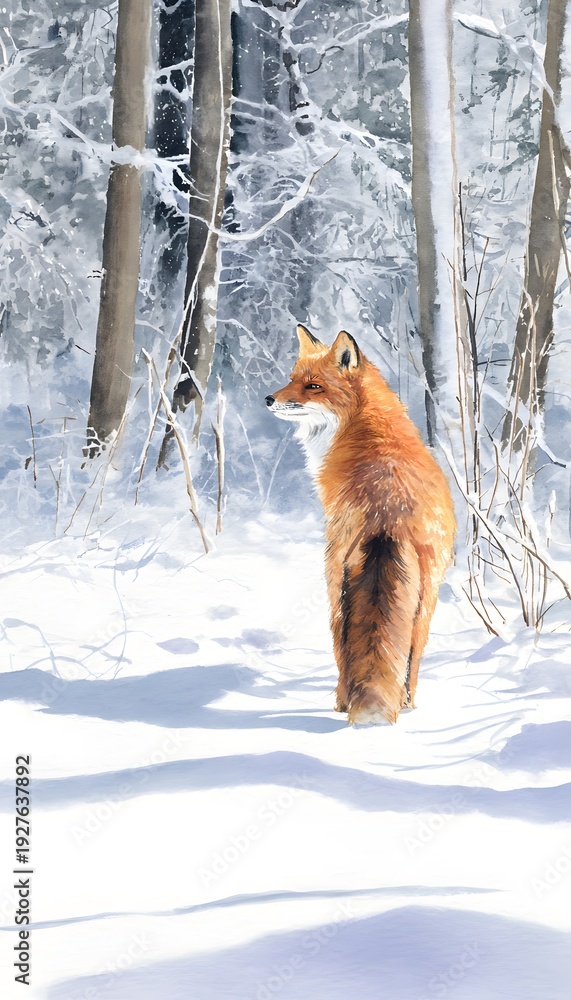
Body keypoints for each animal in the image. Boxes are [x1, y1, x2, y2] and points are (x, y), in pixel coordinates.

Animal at [266, 324, 456, 725]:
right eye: (292, 378)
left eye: (313, 386)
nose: (269, 399)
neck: (362, 423)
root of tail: (389, 515)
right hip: (429, 594)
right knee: (412, 658)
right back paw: (408, 706)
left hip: (333, 583)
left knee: (342, 653)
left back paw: (341, 706)